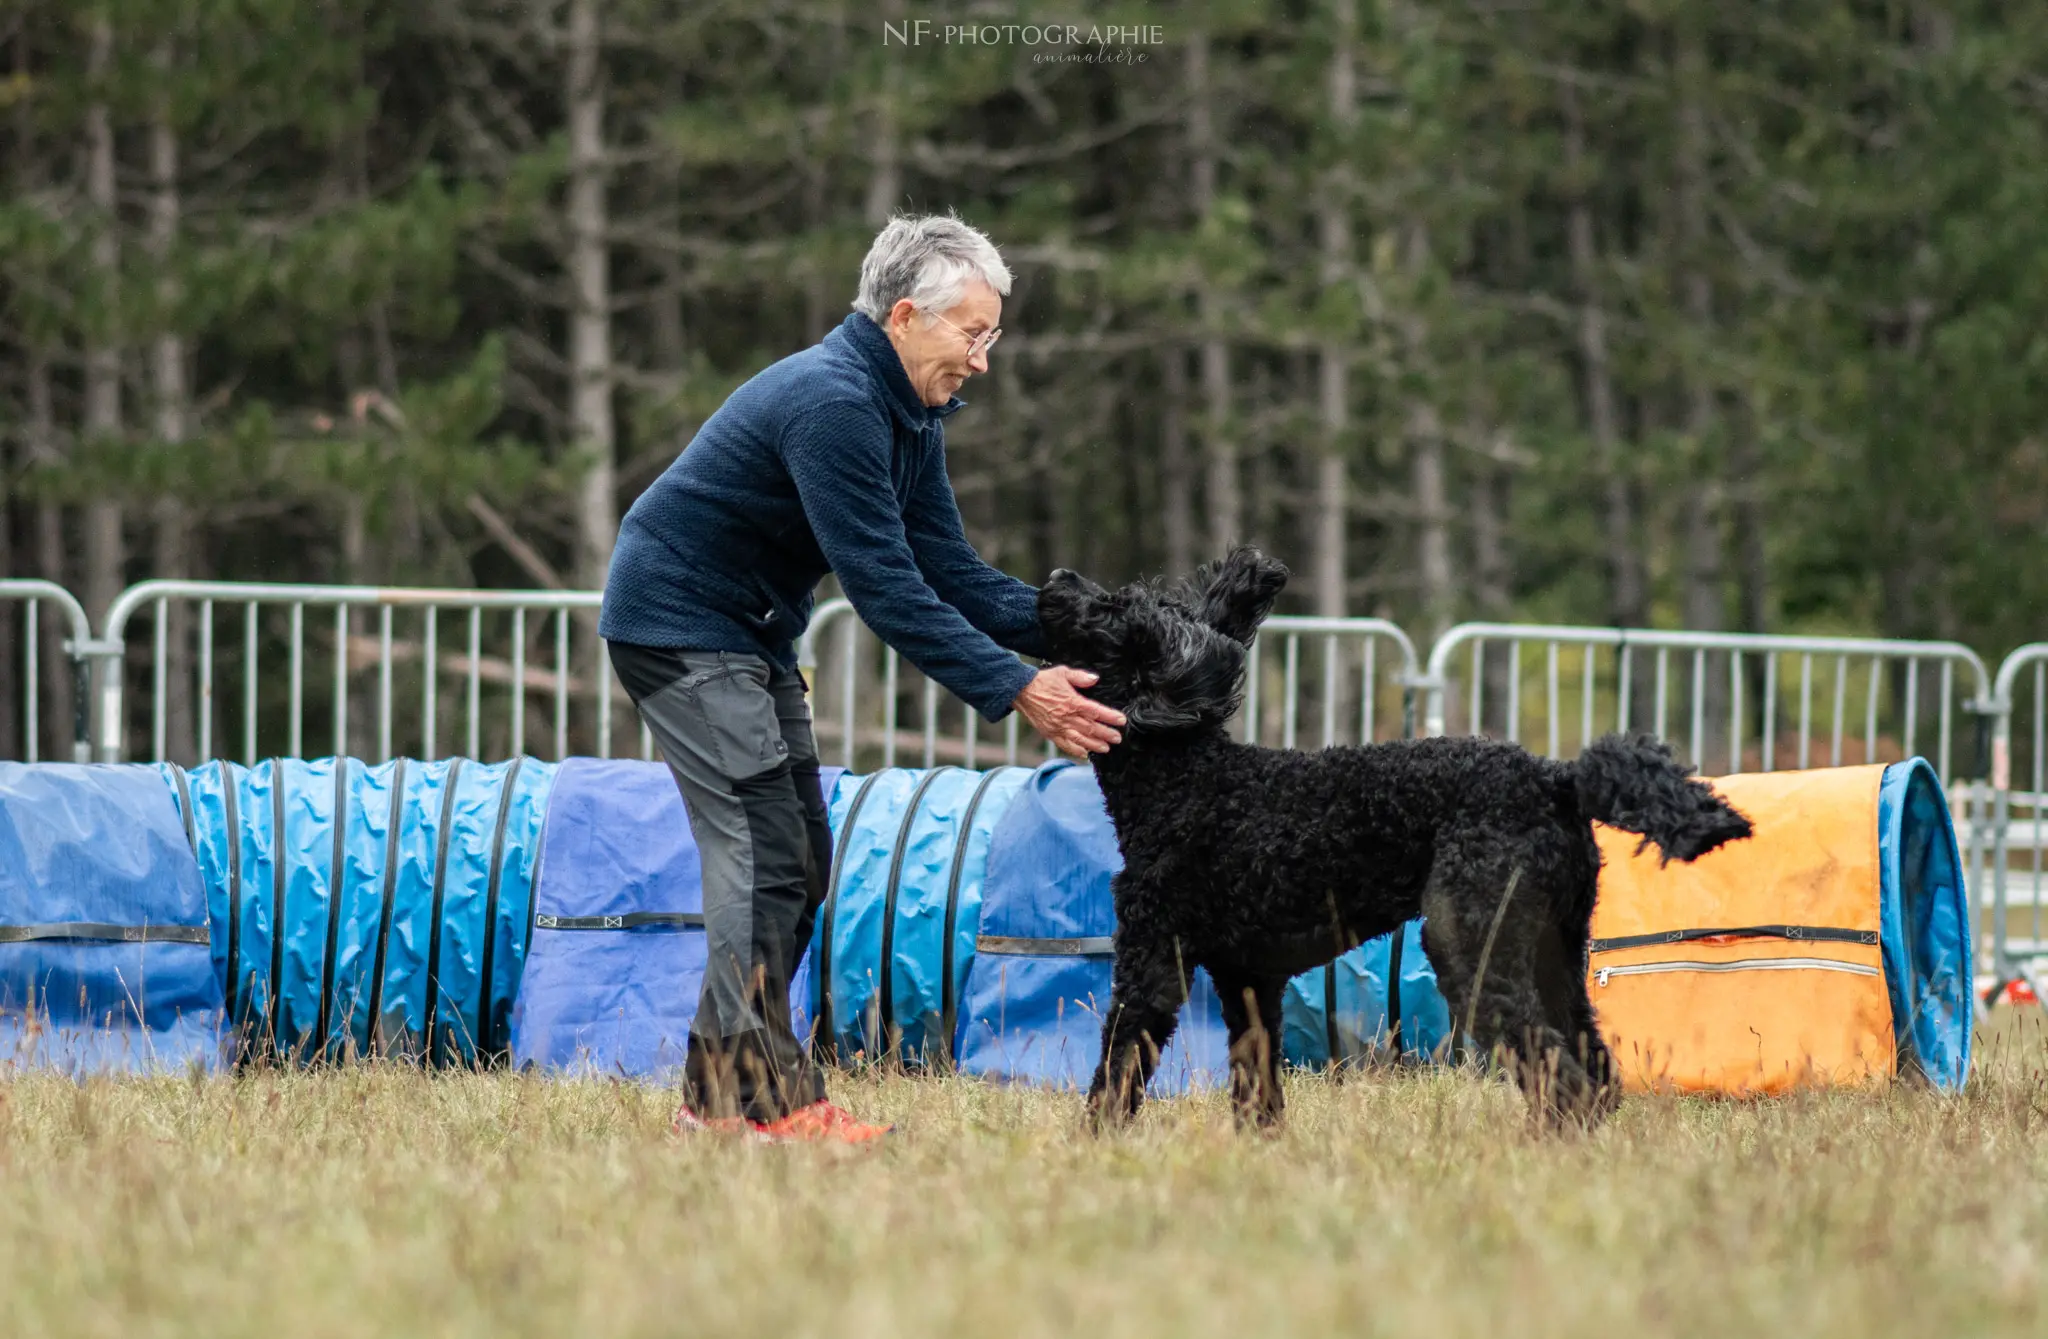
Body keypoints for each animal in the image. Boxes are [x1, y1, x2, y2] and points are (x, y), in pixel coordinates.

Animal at [1048, 544, 1753, 1130]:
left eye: (1114, 613)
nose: (1057, 576)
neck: (1188, 778)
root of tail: (1557, 777)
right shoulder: (1249, 982)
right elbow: (1257, 1086)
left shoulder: (1151, 967)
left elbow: (1116, 1071)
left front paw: (1096, 1146)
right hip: (1553, 948)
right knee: (1594, 1068)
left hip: (1470, 941)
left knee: (1562, 1074)